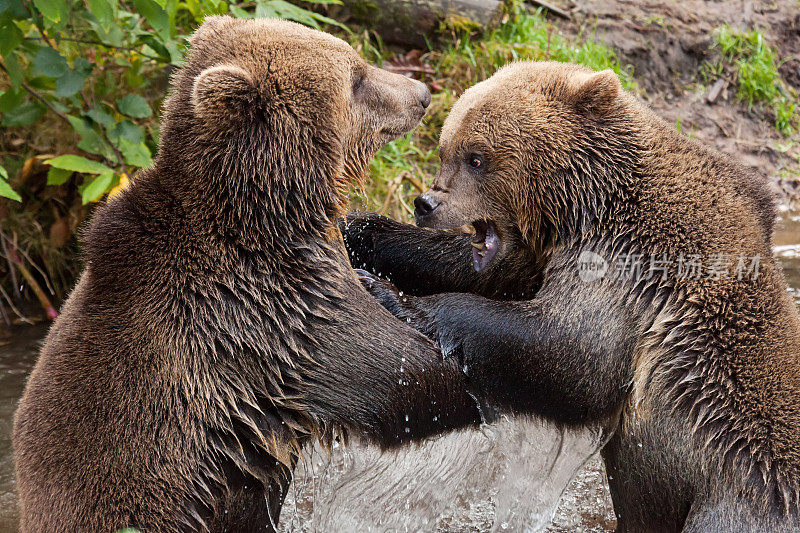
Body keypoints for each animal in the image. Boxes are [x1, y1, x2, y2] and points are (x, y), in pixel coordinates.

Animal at [12, 16, 478, 532]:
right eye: (355, 78)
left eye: (358, 58)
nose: (423, 92)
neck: (268, 213)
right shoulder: (279, 313)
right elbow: (409, 375)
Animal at [342, 61, 800, 528]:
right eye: (444, 149)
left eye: (477, 157)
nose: (426, 203)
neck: (587, 203)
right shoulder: (539, 257)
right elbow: (463, 265)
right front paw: (357, 230)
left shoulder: (634, 268)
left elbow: (575, 351)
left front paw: (393, 296)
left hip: (738, 498)